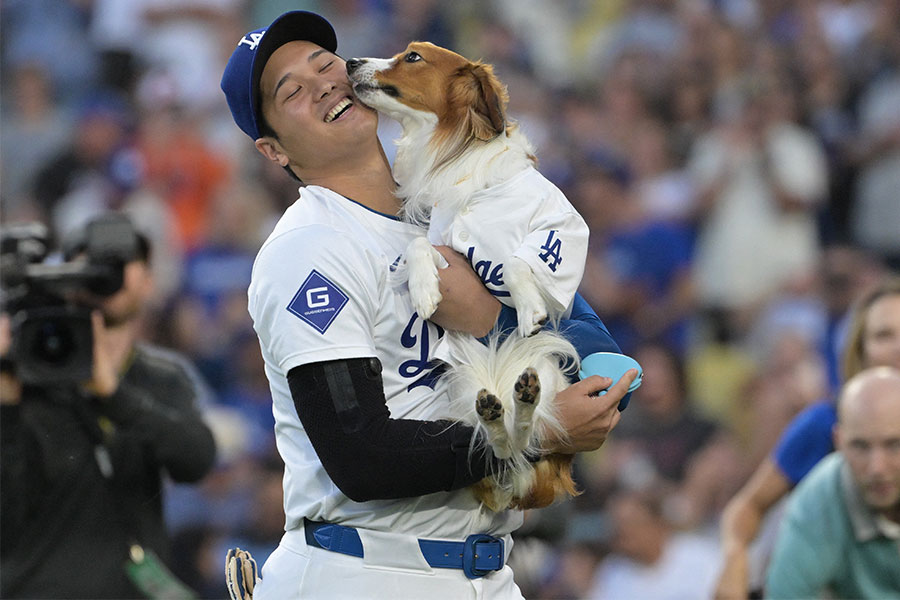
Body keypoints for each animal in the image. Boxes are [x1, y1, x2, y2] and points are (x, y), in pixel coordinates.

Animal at [344, 42, 592, 510]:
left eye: (413, 57)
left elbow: (517, 261)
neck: (457, 158)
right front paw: (425, 291)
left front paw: (529, 309)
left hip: (549, 370)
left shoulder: (563, 228)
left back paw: (520, 399)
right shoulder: (440, 241)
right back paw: (497, 413)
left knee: (526, 433)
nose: (349, 62)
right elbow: (418, 247)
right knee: (502, 443)